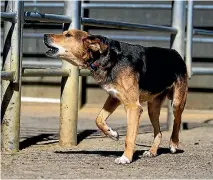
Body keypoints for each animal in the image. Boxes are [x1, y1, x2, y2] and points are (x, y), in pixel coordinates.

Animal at [43, 29, 188, 165]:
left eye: (68, 35)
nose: (44, 35)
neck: (107, 57)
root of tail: (176, 53)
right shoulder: (114, 97)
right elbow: (99, 119)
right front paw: (112, 133)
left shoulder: (133, 107)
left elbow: (129, 137)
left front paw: (126, 158)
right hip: (152, 108)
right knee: (159, 132)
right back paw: (152, 151)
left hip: (177, 102)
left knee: (177, 121)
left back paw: (173, 143)